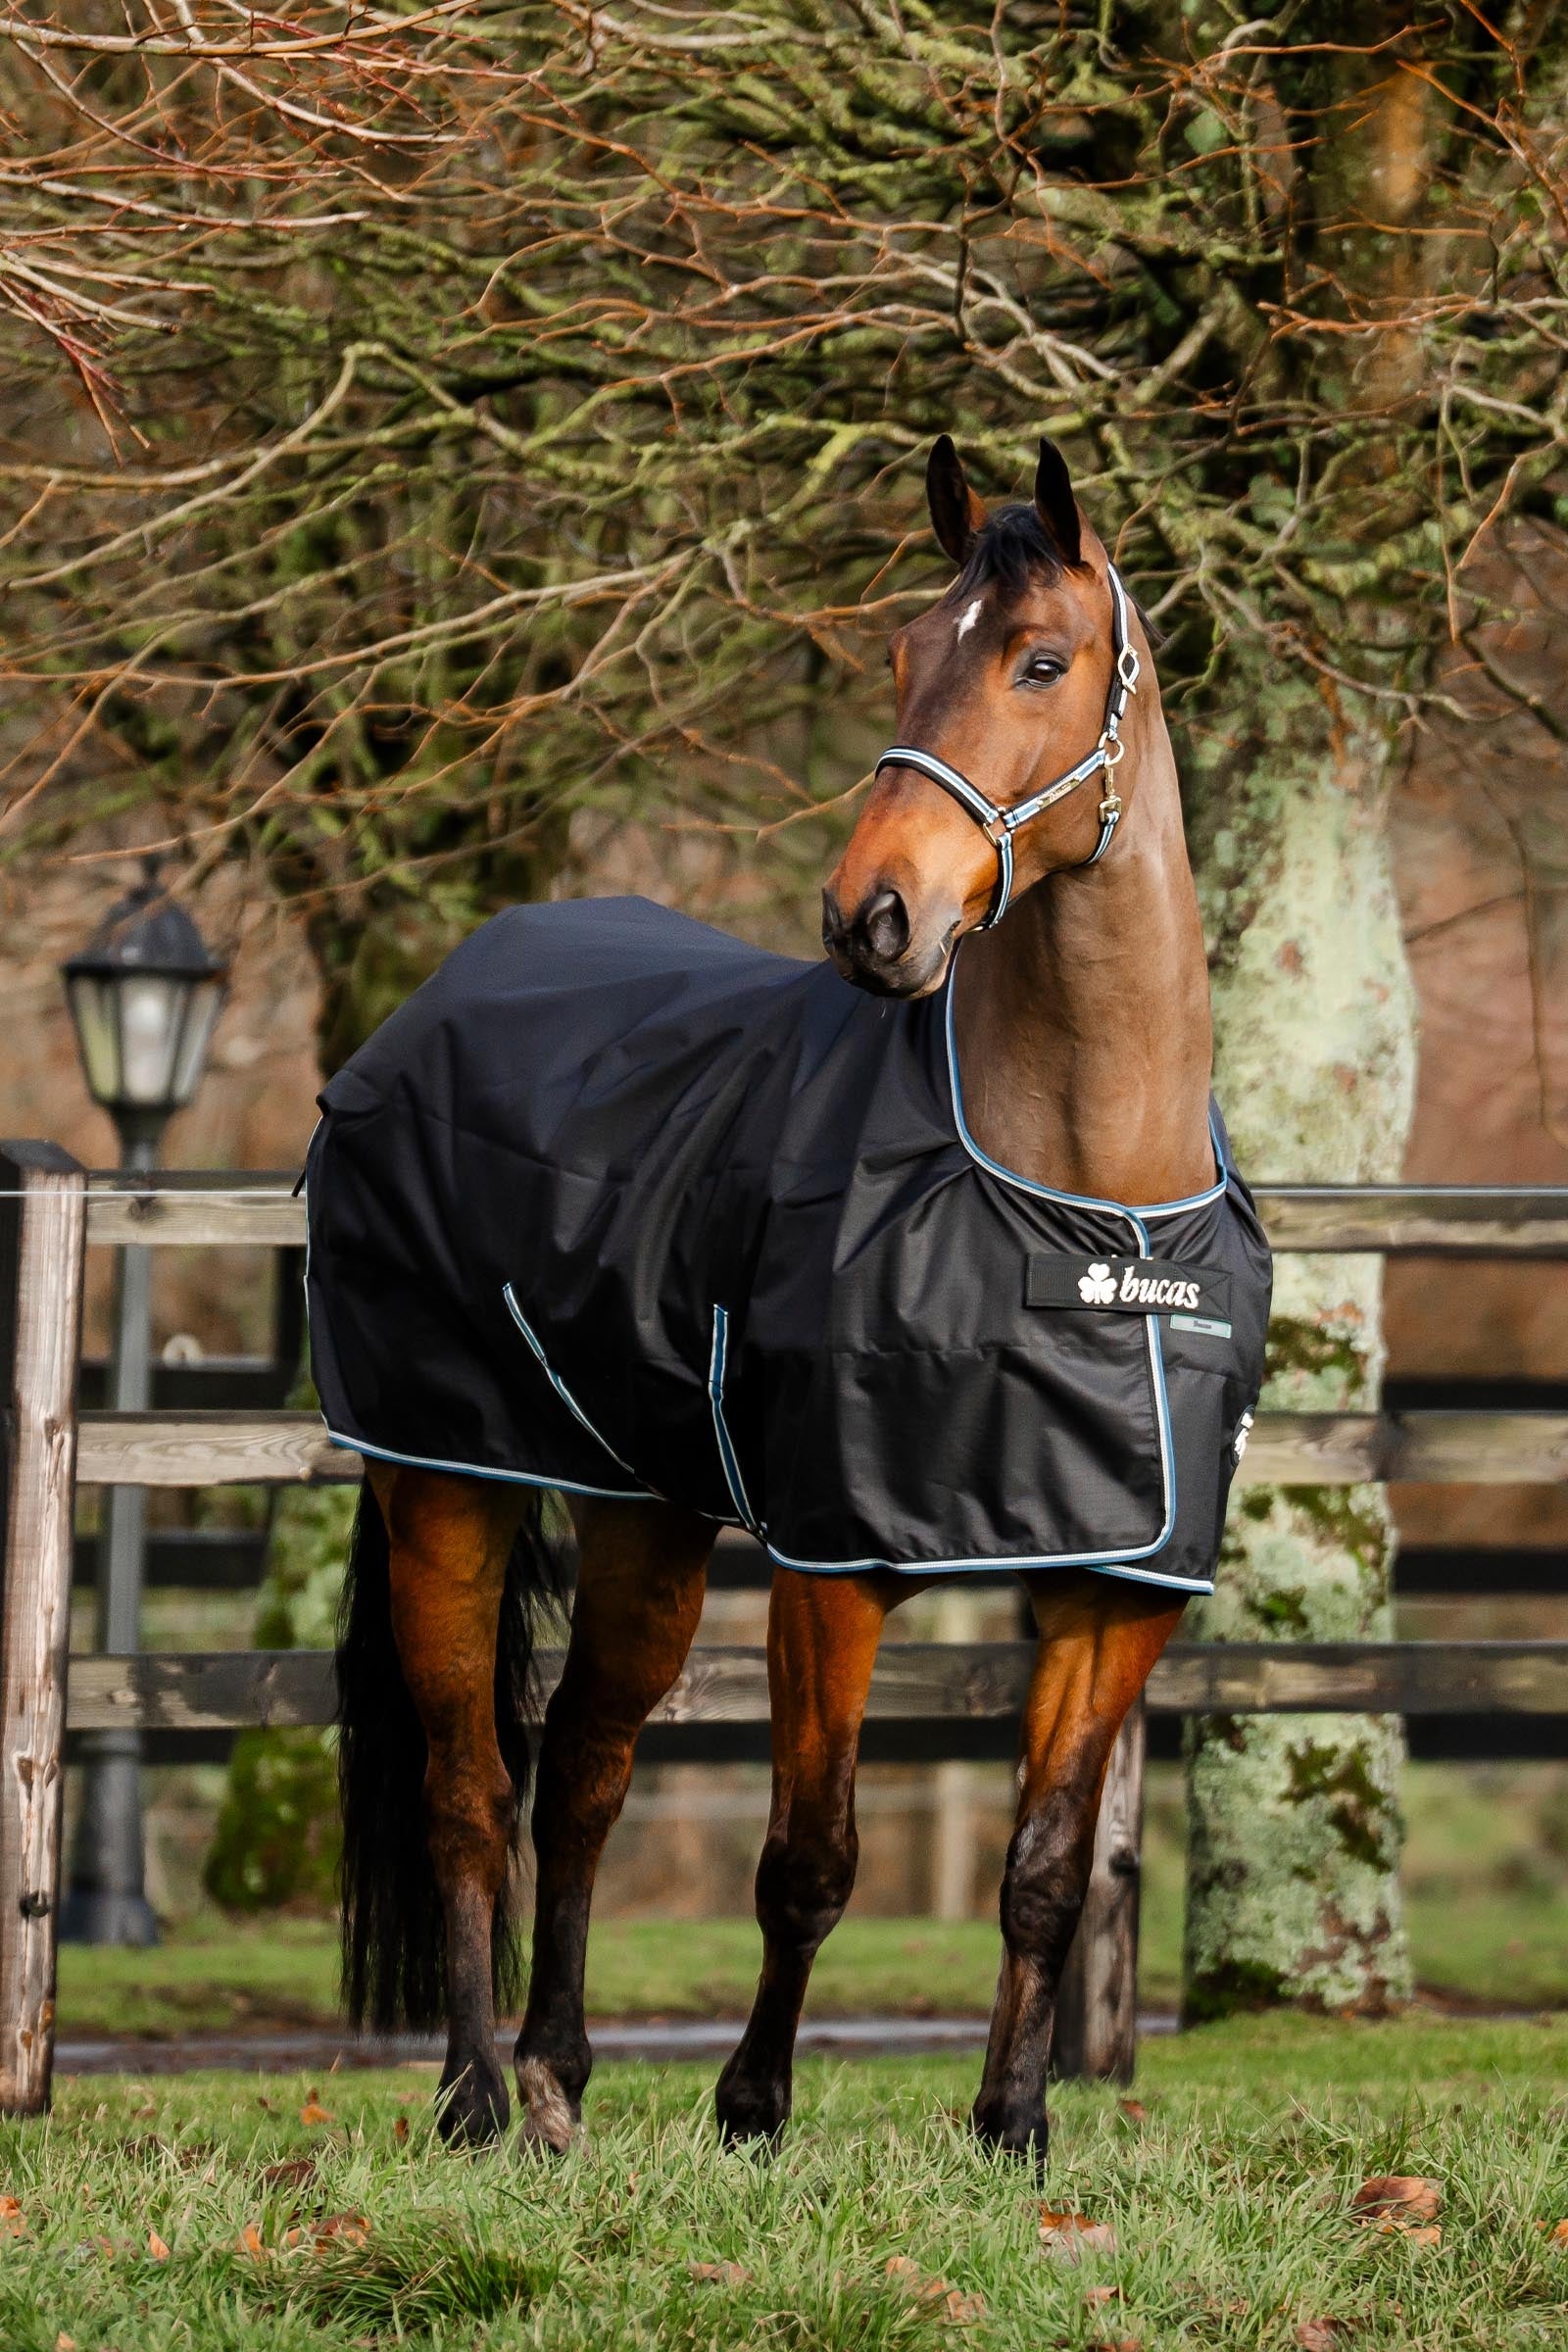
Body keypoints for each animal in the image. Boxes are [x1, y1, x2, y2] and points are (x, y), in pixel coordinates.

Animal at [319, 435, 1268, 2169]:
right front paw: (753, 2111)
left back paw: (556, 2086)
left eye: (1040, 661)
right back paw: (476, 2099)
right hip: (442, 1485)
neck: (1088, 1206)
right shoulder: (840, 1566)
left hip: (648, 1515)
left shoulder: (1119, 1589)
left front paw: (1013, 2128)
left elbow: (1045, 1870)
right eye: (899, 655)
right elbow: (808, 1859)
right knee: (468, 1787)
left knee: (585, 1768)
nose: (870, 917)